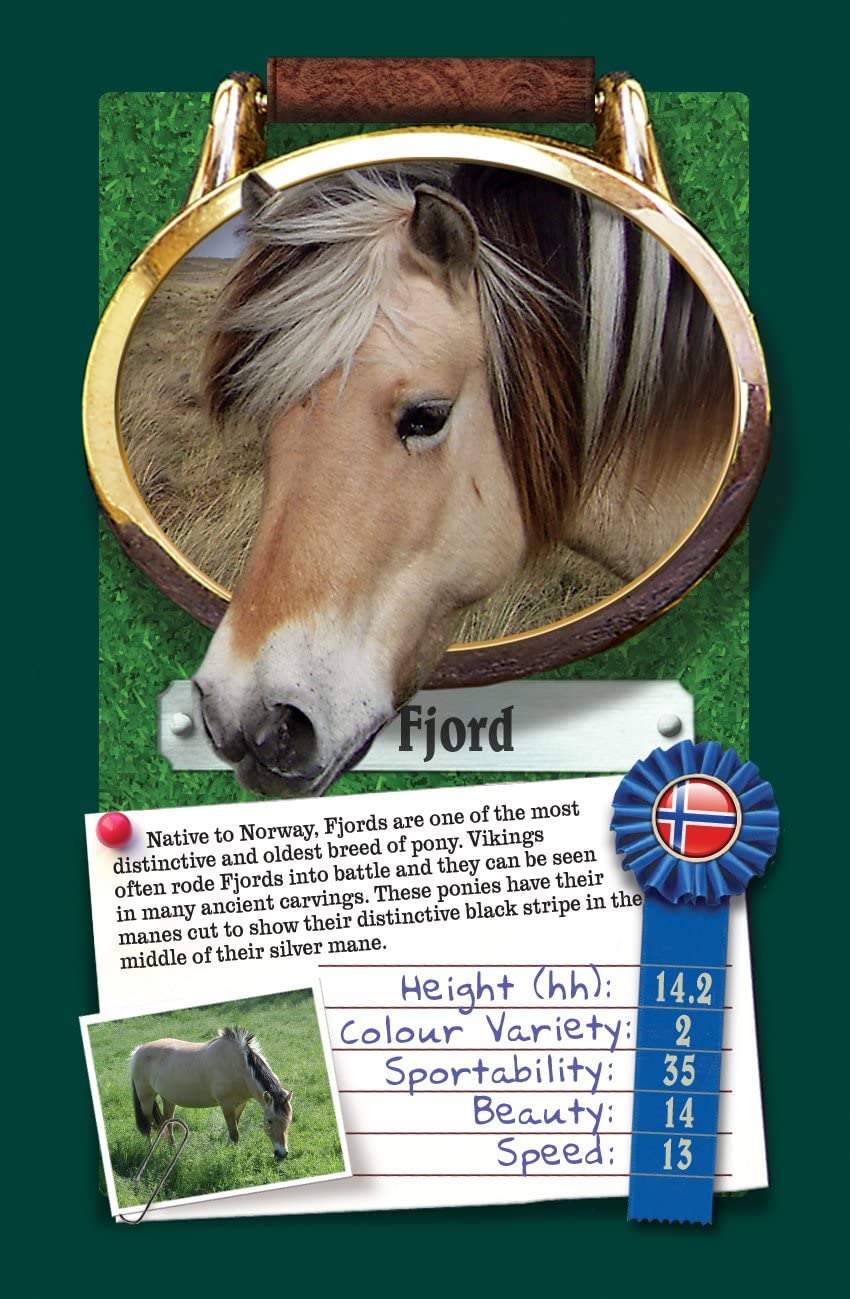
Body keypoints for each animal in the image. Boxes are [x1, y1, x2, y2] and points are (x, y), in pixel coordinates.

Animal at [130, 1025, 293, 1159]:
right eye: (269, 1121)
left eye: (289, 1120)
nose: (282, 1154)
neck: (239, 1066)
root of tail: (137, 1051)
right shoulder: (226, 1104)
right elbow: (234, 1133)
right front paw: (234, 1156)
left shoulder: (240, 1104)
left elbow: (234, 1128)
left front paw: (230, 1150)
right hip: (146, 1098)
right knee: (147, 1125)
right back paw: (150, 1151)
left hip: (168, 1099)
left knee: (167, 1122)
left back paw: (172, 1149)